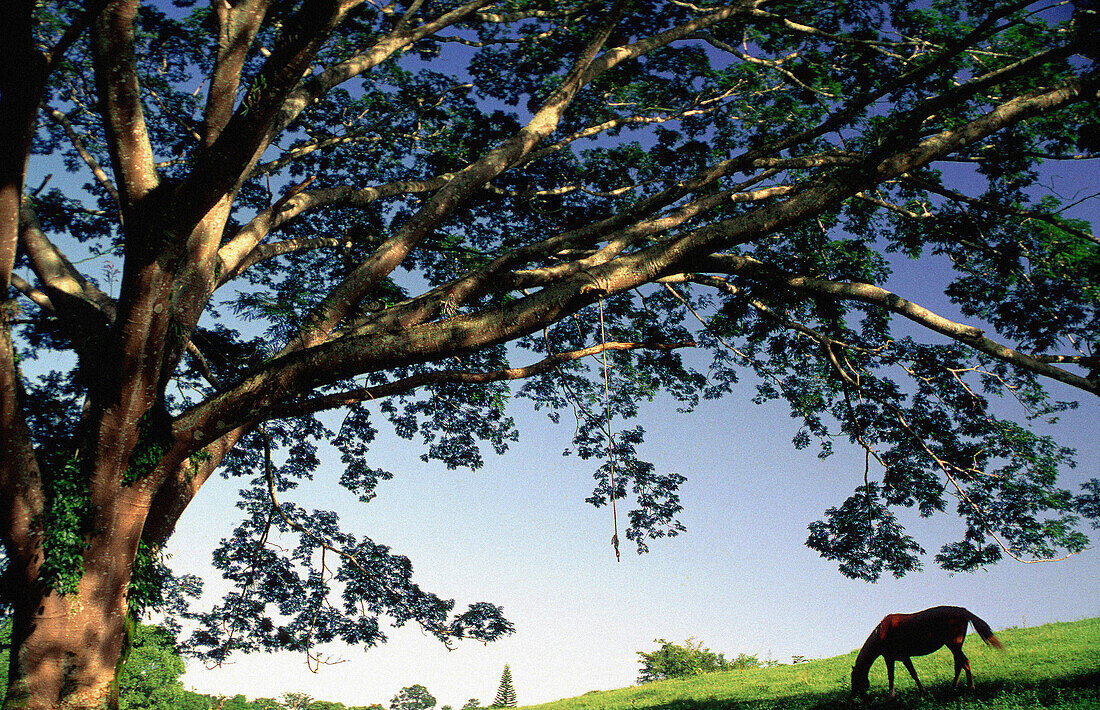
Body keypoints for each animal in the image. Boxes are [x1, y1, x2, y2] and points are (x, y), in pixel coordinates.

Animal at [849, 603, 1007, 695]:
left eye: (854, 678)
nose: (854, 694)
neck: (882, 633)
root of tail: (963, 611)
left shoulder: (890, 658)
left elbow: (892, 676)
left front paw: (891, 696)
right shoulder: (904, 657)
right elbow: (913, 674)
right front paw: (922, 691)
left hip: (954, 644)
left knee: (965, 662)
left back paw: (970, 687)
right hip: (954, 646)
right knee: (959, 664)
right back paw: (953, 687)